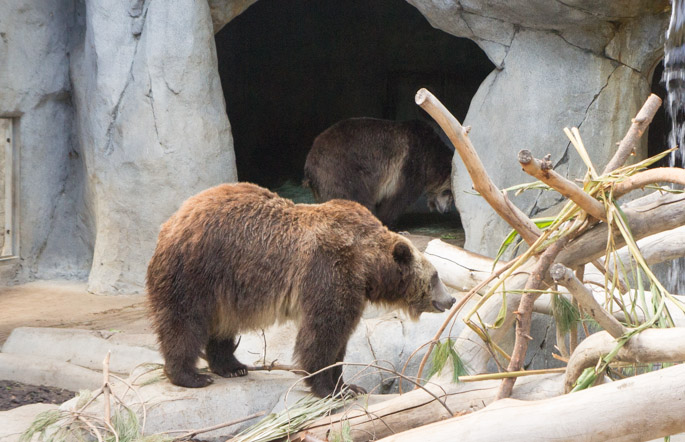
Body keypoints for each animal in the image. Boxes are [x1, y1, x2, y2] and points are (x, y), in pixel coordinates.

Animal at [146, 182, 454, 398]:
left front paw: (348, 386)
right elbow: (322, 334)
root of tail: (170, 222)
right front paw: (327, 388)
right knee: (183, 321)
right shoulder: (330, 272)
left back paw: (233, 367)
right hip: (196, 269)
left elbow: (339, 342)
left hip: (223, 286)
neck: (367, 265)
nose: (450, 299)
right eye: (436, 276)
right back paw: (191, 376)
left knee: (221, 326)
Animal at [304, 117, 454, 226]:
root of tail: (310, 159)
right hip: (341, 169)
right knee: (355, 195)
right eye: (449, 192)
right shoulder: (409, 164)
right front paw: (388, 221)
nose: (447, 210)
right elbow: (398, 198)